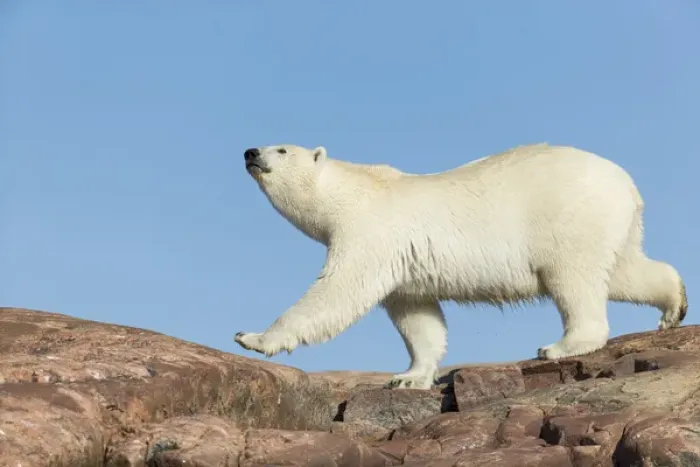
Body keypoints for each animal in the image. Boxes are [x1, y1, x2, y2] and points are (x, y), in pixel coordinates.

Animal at [235, 143, 688, 389]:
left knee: (573, 279)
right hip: (612, 225)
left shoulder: (370, 233)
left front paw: (253, 337)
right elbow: (418, 318)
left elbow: (337, 290)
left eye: (282, 149)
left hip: (569, 218)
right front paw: (408, 377)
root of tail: (626, 183)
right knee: (622, 271)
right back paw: (674, 307)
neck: (350, 191)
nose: (250, 152)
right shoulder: (404, 265)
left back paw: (560, 346)